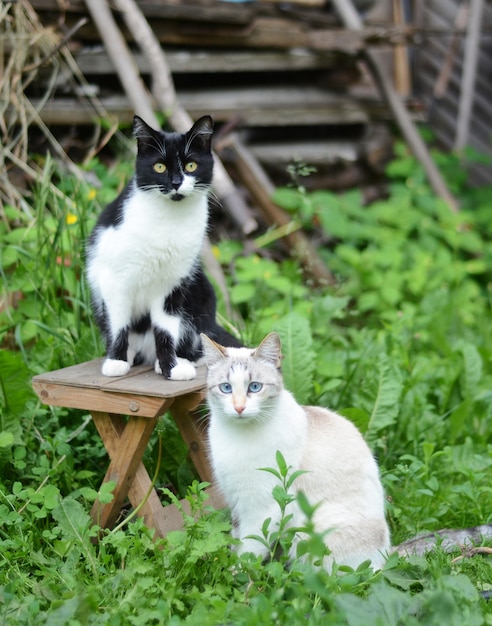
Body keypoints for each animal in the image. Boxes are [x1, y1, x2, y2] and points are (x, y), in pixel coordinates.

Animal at [86, 114, 240, 378]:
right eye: (159, 167)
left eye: (191, 166)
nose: (176, 183)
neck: (169, 220)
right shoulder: (114, 279)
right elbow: (118, 324)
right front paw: (116, 361)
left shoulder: (173, 283)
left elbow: (166, 328)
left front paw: (172, 367)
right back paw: (130, 356)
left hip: (202, 289)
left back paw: (179, 360)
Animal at [202, 332, 390, 572]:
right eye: (226, 388)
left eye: (254, 387)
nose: (239, 408)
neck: (236, 436)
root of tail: (386, 560)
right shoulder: (236, 502)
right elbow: (236, 542)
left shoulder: (261, 509)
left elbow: (247, 555)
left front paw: (235, 576)